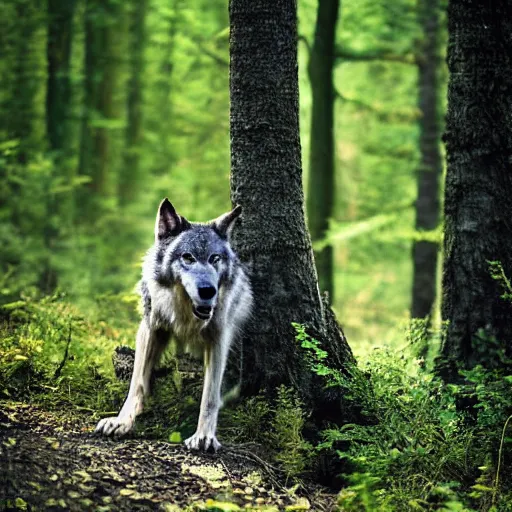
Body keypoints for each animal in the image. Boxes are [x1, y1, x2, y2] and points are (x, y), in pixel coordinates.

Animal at [95, 198, 253, 450]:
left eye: (214, 258)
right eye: (187, 257)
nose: (208, 291)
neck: (185, 314)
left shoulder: (219, 337)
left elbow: (210, 396)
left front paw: (204, 436)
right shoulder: (151, 326)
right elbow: (137, 382)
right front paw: (122, 422)